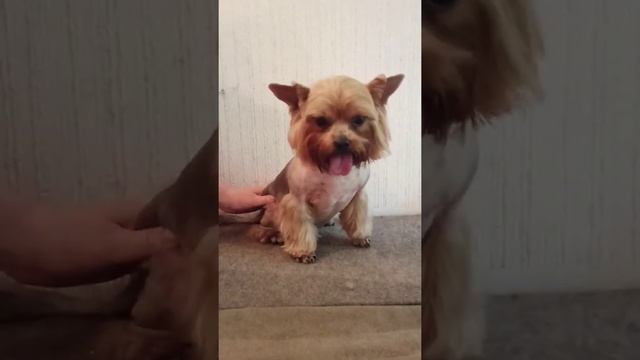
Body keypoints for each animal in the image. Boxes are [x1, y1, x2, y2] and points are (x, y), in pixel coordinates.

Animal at [252, 74, 402, 262]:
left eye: (359, 120)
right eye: (320, 121)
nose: (342, 142)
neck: (331, 170)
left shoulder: (358, 195)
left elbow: (358, 215)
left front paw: (360, 236)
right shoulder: (297, 201)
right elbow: (300, 227)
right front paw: (303, 251)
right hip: (271, 209)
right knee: (262, 226)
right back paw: (272, 235)